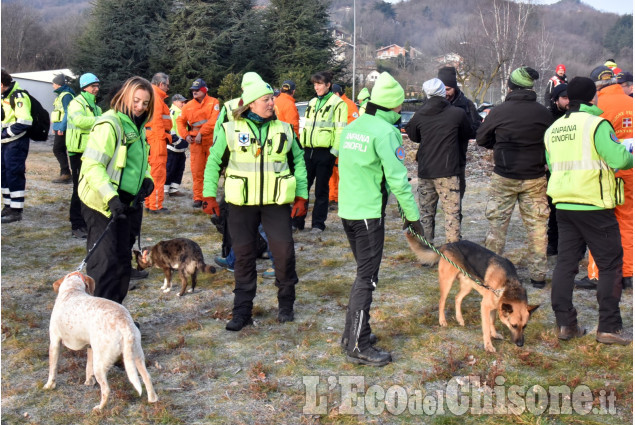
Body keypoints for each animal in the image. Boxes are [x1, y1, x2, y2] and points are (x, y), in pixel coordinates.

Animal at [44, 270, 158, 410]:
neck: (72, 290)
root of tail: (124, 324)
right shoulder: (90, 347)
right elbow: (88, 368)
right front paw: (88, 382)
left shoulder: (54, 342)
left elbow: (52, 369)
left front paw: (49, 386)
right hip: (136, 357)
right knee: (147, 377)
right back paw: (152, 400)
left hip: (100, 365)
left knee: (106, 389)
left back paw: (99, 408)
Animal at [404, 232, 540, 352]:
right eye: (513, 325)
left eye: (525, 326)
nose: (520, 344)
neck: (508, 285)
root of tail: (448, 244)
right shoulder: (485, 306)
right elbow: (486, 327)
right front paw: (488, 345)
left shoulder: (495, 306)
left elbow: (492, 322)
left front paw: (494, 334)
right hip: (447, 283)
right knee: (442, 301)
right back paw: (442, 321)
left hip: (468, 286)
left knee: (457, 298)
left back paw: (459, 319)